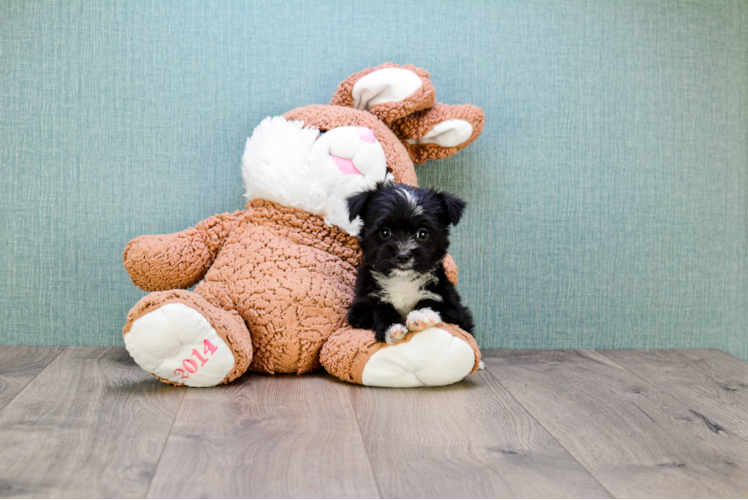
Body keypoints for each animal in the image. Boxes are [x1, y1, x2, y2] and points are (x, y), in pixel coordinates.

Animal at [344, 181, 474, 344]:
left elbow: (435, 302)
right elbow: (378, 308)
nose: (403, 255)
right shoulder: (361, 305)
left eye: (422, 234)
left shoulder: (454, 307)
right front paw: (391, 326)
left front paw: (420, 315)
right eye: (385, 232)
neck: (403, 280)